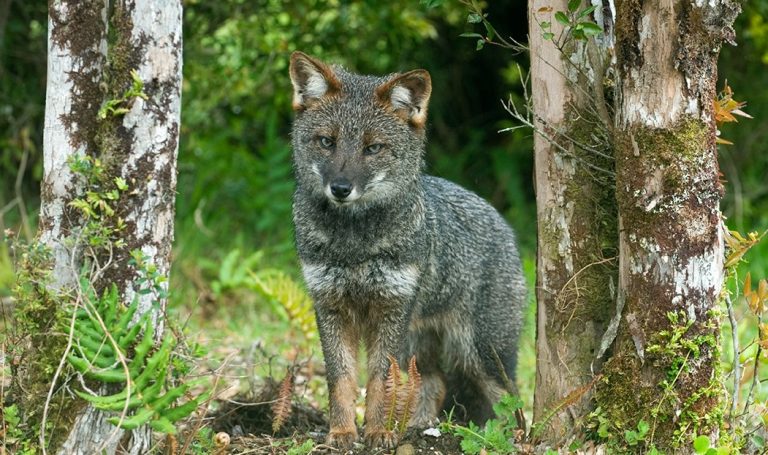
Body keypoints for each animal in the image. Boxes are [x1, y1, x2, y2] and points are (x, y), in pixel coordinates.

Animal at [289, 51, 527, 449]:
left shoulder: (391, 309)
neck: (355, 245)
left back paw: (509, 439)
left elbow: (380, 380)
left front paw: (378, 432)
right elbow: (341, 379)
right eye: (327, 142)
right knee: (434, 382)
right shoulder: (330, 306)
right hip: (423, 343)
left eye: (373, 148)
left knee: (511, 400)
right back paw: (419, 429)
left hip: (480, 351)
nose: (341, 188)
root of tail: (503, 222)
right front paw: (342, 432)